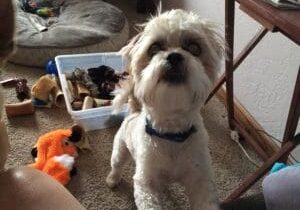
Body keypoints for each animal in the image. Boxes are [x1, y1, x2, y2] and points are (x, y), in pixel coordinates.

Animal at [106, 9, 224, 209]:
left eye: (194, 48)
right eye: (154, 48)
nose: (174, 56)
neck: (172, 134)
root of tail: (134, 111)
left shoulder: (200, 180)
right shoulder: (146, 183)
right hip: (119, 149)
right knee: (116, 165)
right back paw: (112, 180)